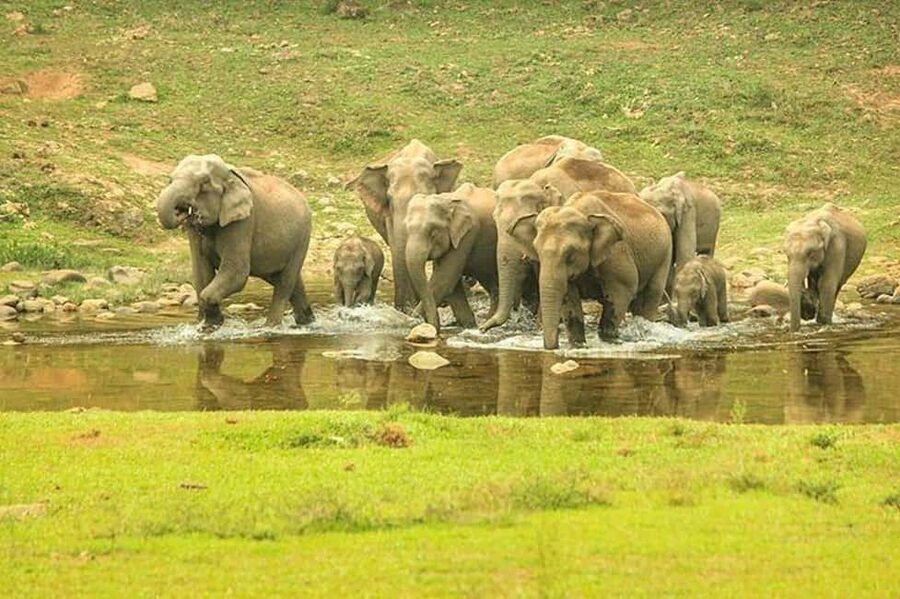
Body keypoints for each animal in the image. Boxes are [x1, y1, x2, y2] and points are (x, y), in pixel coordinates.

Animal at [156, 154, 313, 330]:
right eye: (170, 179)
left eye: (204, 182)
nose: (183, 211)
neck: (230, 176)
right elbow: (201, 271)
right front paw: (208, 324)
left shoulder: (243, 221)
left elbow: (236, 273)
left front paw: (212, 324)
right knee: (289, 282)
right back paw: (307, 322)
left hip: (302, 238)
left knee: (285, 283)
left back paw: (270, 327)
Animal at [404, 183, 499, 332]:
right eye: (407, 230)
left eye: (433, 233)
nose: (436, 327)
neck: (446, 200)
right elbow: (452, 287)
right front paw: (469, 325)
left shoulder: (467, 234)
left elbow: (444, 280)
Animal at [533, 190, 672, 349]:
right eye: (536, 250)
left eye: (570, 253)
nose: (553, 346)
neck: (580, 211)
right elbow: (569, 296)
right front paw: (578, 344)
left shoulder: (617, 252)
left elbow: (622, 291)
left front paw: (609, 339)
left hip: (664, 254)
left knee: (651, 294)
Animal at [783, 203, 866, 331]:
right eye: (787, 254)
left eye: (810, 253)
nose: (792, 331)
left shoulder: (837, 245)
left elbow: (826, 284)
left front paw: (822, 322)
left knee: (836, 286)